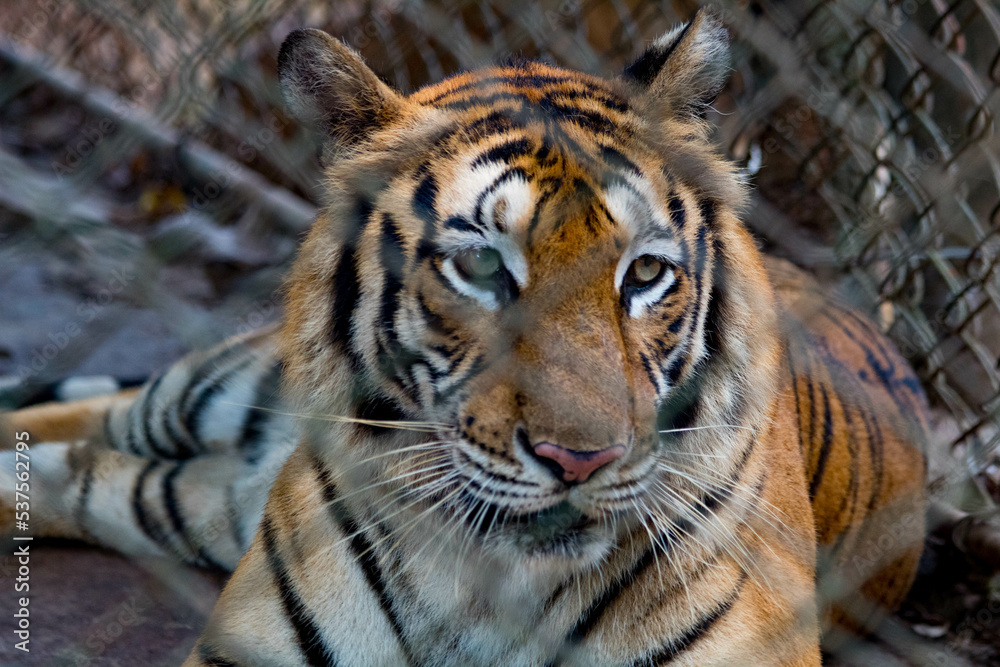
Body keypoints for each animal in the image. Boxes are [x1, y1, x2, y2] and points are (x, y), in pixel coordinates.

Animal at [0, 9, 929, 666]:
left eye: (644, 274)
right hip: (206, 395)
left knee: (97, 472)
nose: (579, 460)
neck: (489, 587)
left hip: (199, 499)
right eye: (483, 266)